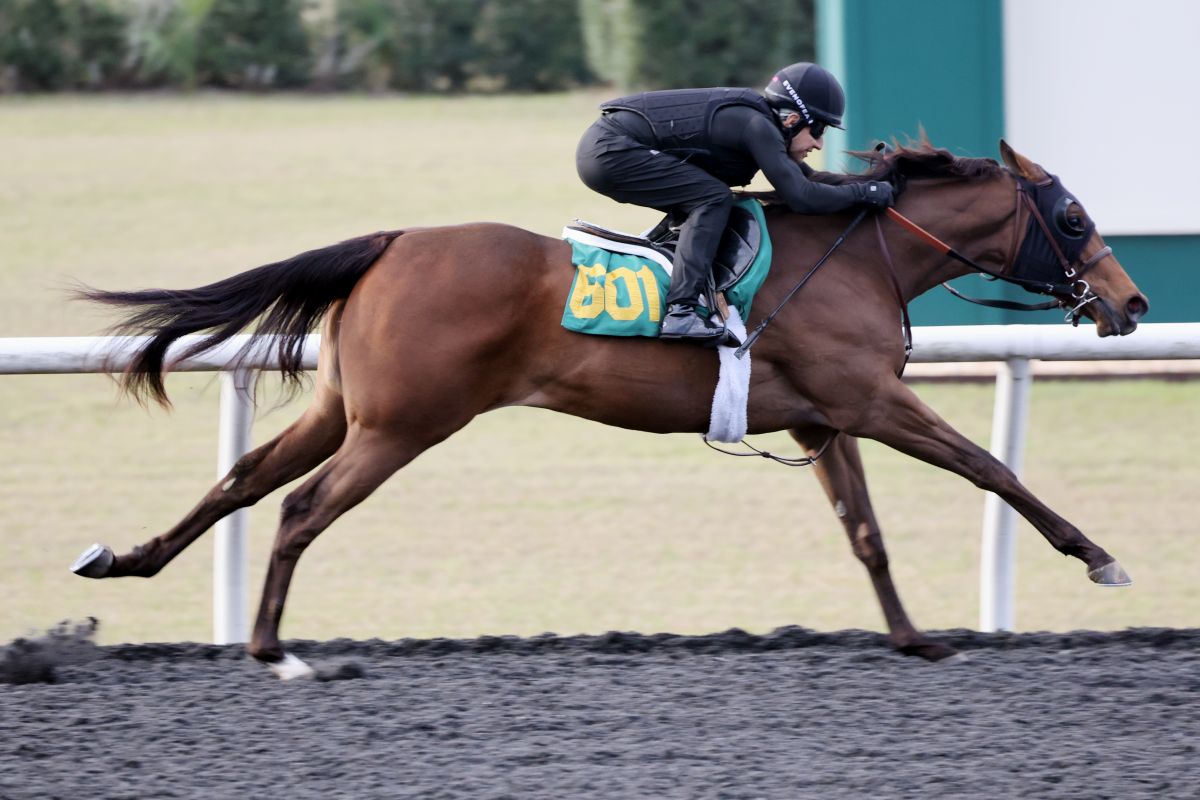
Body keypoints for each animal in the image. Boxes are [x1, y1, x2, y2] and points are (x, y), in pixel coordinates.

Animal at [70, 140, 1147, 681]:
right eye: (1073, 218)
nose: (1131, 303)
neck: (860, 257)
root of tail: (392, 242)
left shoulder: (820, 418)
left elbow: (865, 532)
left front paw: (914, 636)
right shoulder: (874, 398)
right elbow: (991, 467)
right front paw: (1098, 554)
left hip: (347, 410)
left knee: (242, 479)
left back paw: (126, 559)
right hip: (401, 426)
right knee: (298, 507)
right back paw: (270, 648)